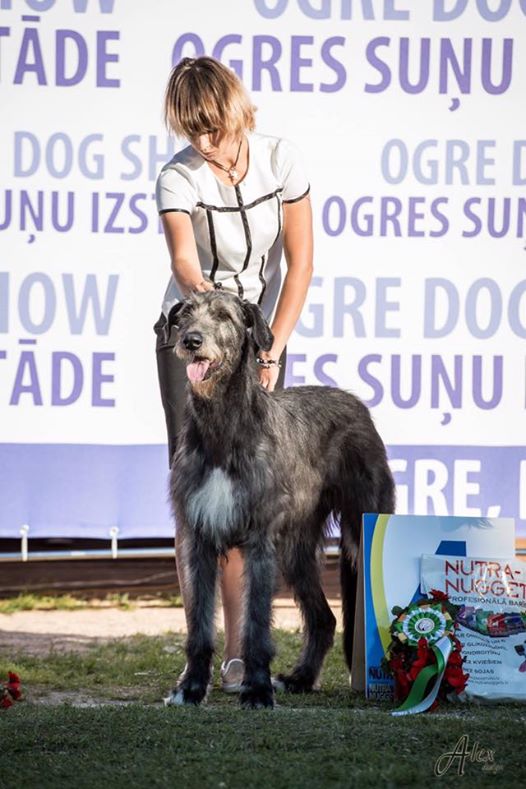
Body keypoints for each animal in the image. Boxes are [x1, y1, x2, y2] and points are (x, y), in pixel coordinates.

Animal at [165, 290, 396, 708]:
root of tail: (355, 402)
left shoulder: (260, 541)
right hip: (295, 548)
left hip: (365, 525)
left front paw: (256, 689)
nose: (191, 341)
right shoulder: (197, 539)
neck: (224, 428)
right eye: (186, 313)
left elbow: (256, 623)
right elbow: (199, 625)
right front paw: (191, 687)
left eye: (223, 315)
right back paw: (301, 678)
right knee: (324, 618)